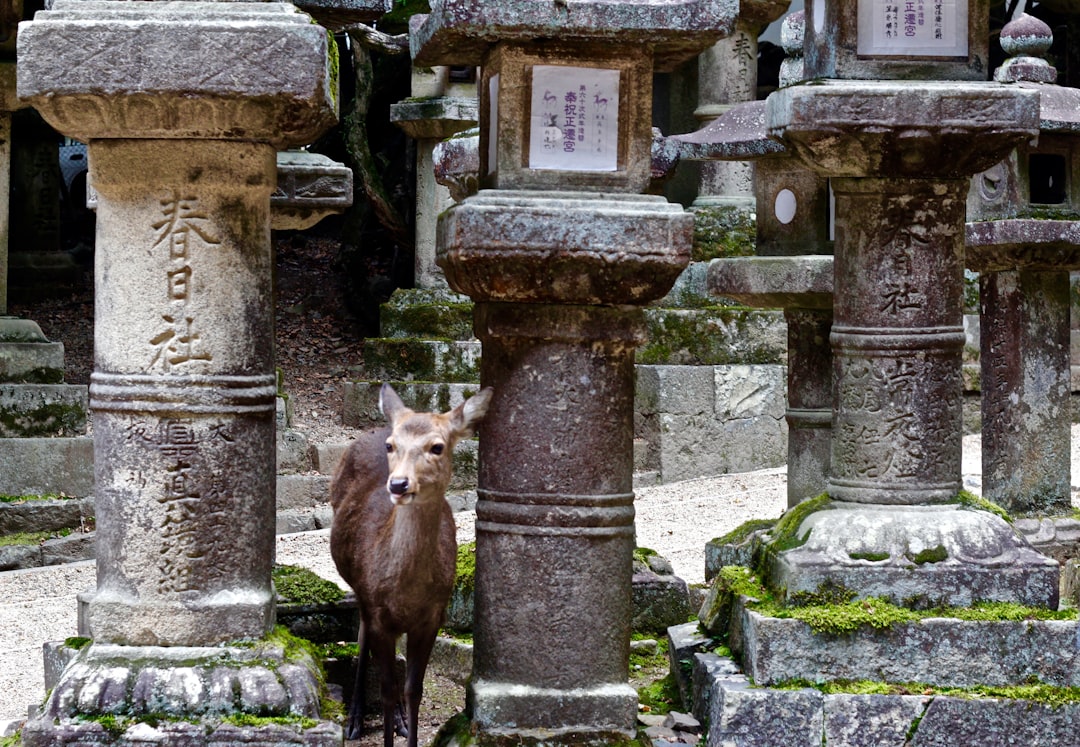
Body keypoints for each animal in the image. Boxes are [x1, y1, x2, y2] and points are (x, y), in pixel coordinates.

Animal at [328, 382, 494, 742]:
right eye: (392, 446)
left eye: (437, 446)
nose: (399, 483)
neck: (408, 591)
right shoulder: (377, 610)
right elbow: (388, 689)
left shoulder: (432, 617)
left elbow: (413, 689)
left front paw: (409, 726)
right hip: (360, 591)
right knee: (361, 637)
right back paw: (355, 720)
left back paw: (400, 721)